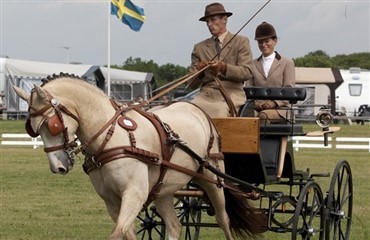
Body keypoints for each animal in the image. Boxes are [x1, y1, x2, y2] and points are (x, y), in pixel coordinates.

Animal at [13, 74, 264, 239]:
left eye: (52, 125)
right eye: (32, 129)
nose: (58, 167)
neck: (112, 138)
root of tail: (197, 109)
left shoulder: (134, 194)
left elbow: (117, 234)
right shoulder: (111, 201)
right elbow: (127, 232)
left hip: (213, 178)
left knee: (224, 219)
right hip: (164, 191)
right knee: (174, 225)